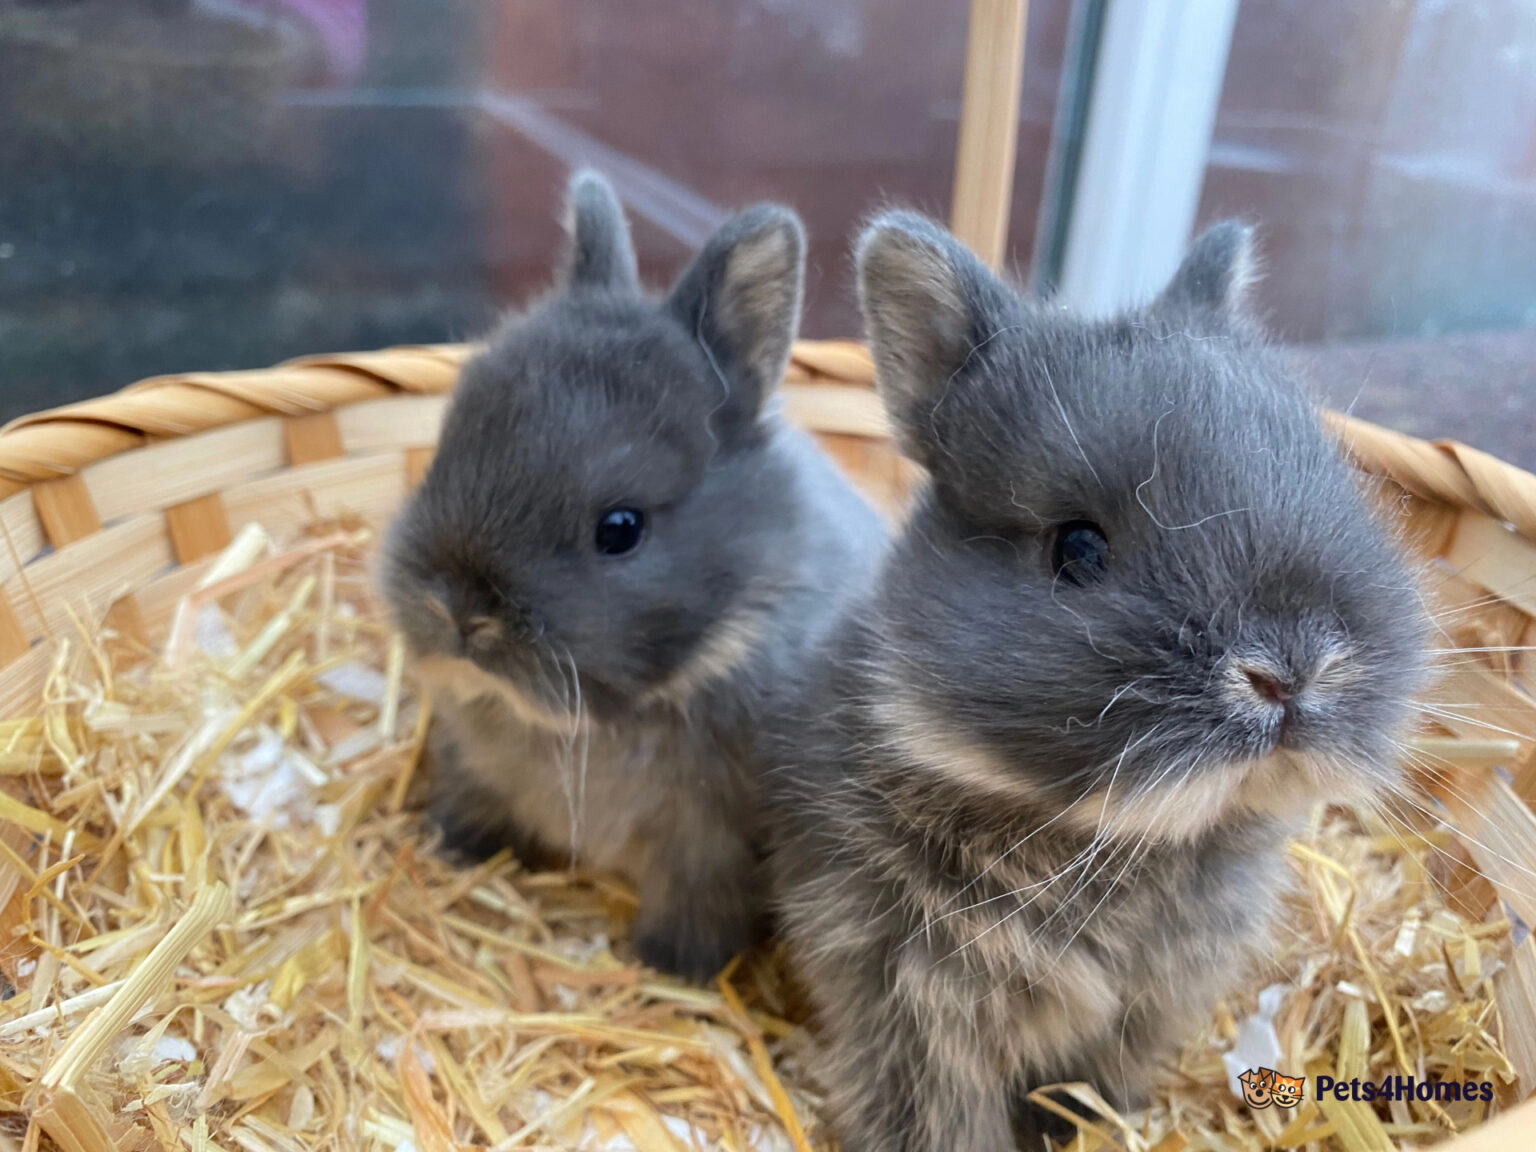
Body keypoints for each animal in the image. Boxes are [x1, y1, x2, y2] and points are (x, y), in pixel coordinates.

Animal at [381, 170, 887, 981]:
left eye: (620, 529)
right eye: (447, 446)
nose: (461, 613)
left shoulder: (709, 845)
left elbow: (697, 902)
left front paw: (672, 965)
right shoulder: (472, 763)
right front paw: (456, 845)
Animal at [767, 213, 1430, 1150]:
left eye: (1336, 477)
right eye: (1076, 548)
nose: (1290, 672)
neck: (1116, 845)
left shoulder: (1141, 1016)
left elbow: (1090, 1093)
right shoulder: (911, 1006)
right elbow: (936, 1114)